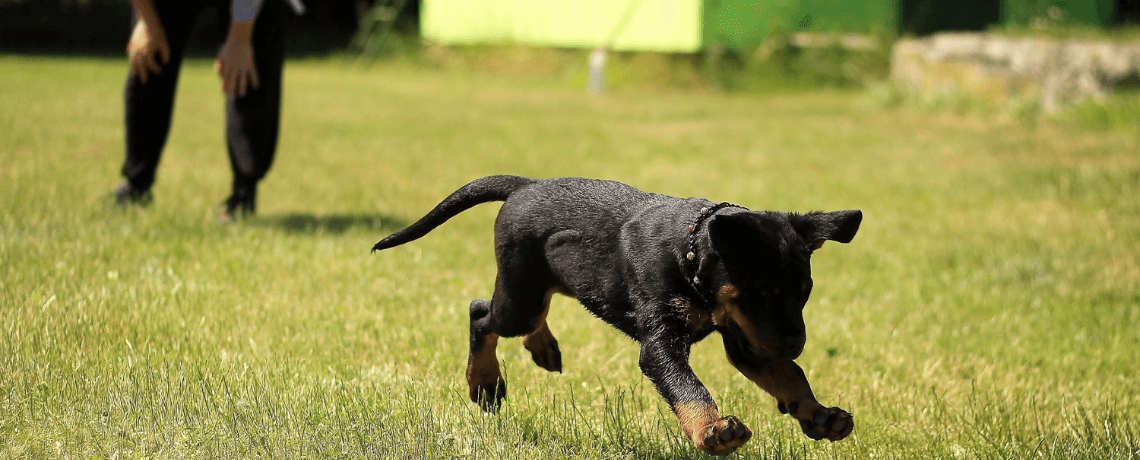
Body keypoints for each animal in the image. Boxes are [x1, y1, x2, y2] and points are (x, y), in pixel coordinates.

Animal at [373, 174, 861, 455]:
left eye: (804, 294)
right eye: (761, 293)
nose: (797, 342)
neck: (688, 253)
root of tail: (525, 185)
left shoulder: (748, 340)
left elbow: (789, 375)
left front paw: (819, 414)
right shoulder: (663, 343)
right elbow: (688, 387)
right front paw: (712, 430)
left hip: (545, 283)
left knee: (531, 312)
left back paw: (542, 348)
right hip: (520, 295)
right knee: (481, 314)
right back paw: (485, 383)